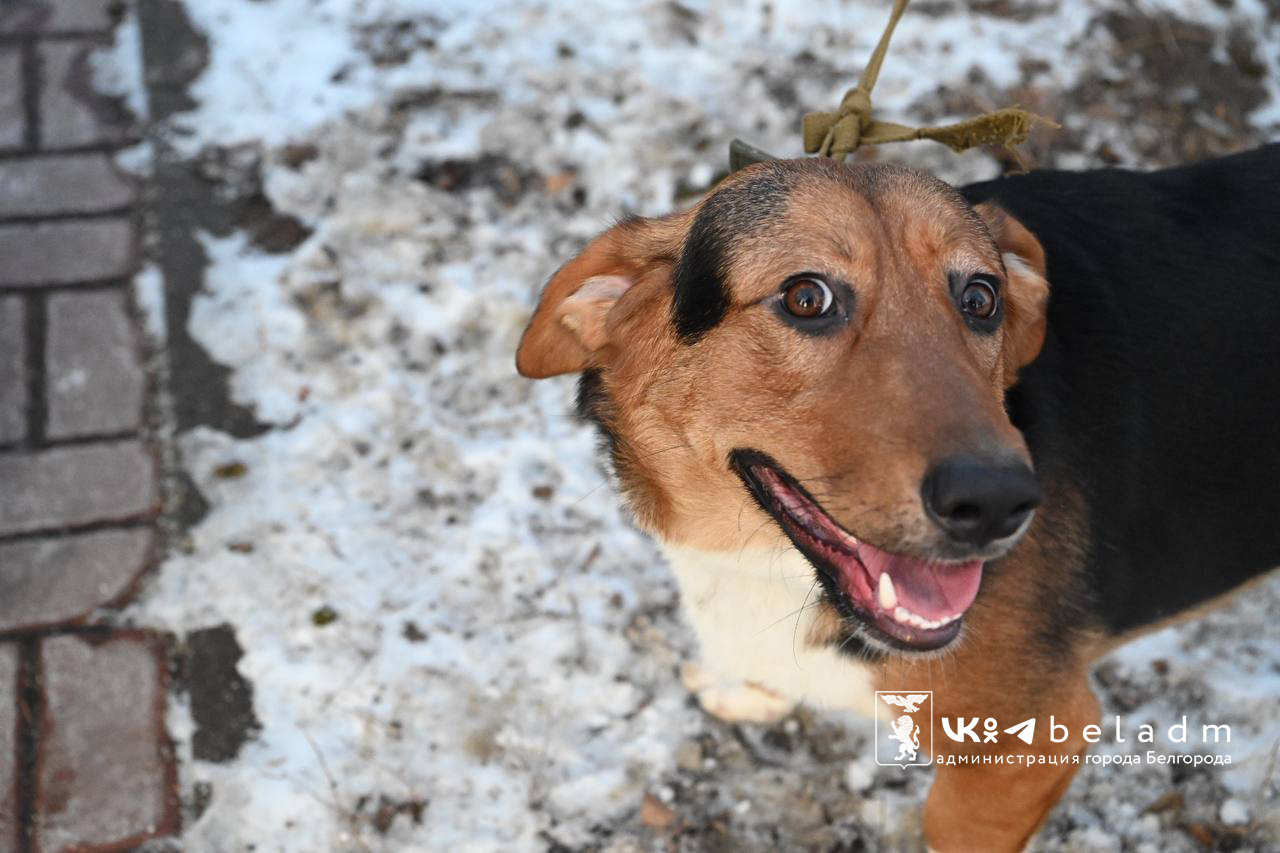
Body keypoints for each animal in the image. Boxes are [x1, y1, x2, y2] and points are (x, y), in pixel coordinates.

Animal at [512, 142, 1280, 845]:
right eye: (807, 297)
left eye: (981, 299)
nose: (996, 502)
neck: (763, 561)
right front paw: (746, 691)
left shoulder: (1022, 749)